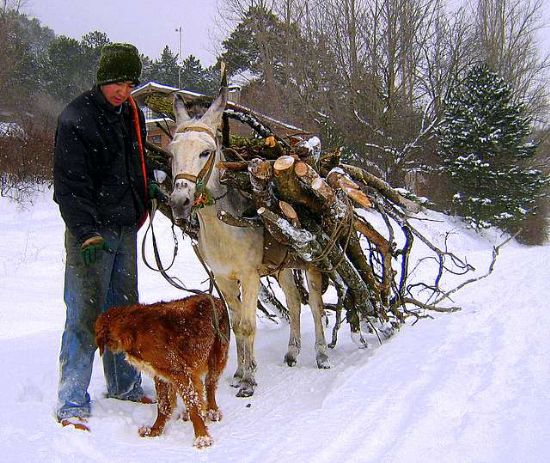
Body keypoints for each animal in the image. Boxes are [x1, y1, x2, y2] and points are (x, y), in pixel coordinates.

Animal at [96, 296, 230, 448]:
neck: (133, 330)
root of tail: (215, 298)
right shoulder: (160, 375)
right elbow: (163, 405)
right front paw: (155, 431)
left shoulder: (179, 372)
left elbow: (193, 406)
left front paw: (202, 437)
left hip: (217, 356)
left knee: (210, 385)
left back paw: (213, 411)